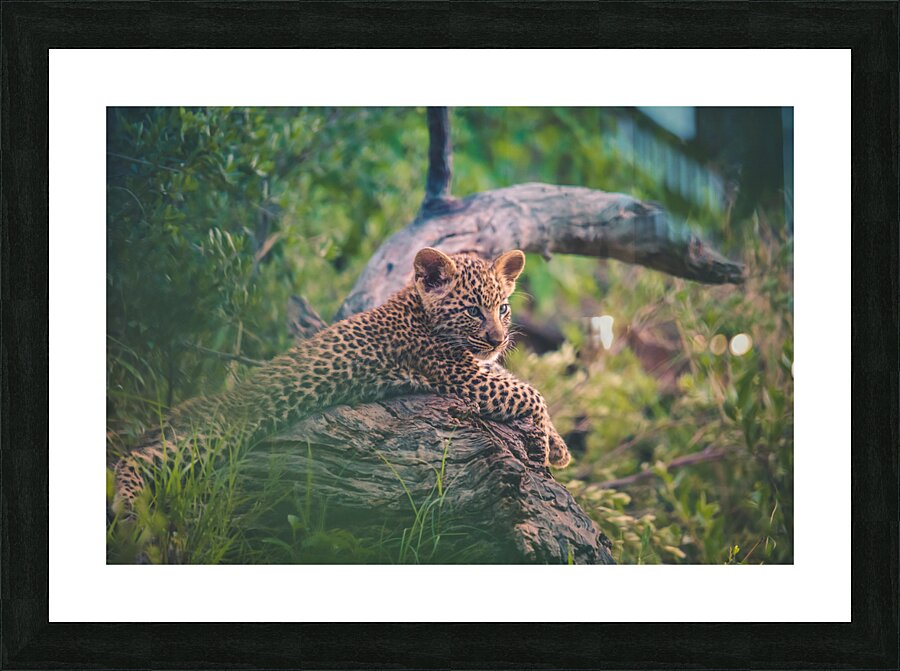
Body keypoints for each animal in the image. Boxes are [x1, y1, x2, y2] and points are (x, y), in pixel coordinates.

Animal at [112, 247, 571, 516]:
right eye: (473, 311)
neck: (419, 309)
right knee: (141, 458)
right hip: (222, 430)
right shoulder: (460, 375)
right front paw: (550, 446)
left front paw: (558, 444)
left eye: (503, 308)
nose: (497, 339)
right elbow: (529, 390)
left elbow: (516, 380)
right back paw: (128, 509)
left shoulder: (476, 368)